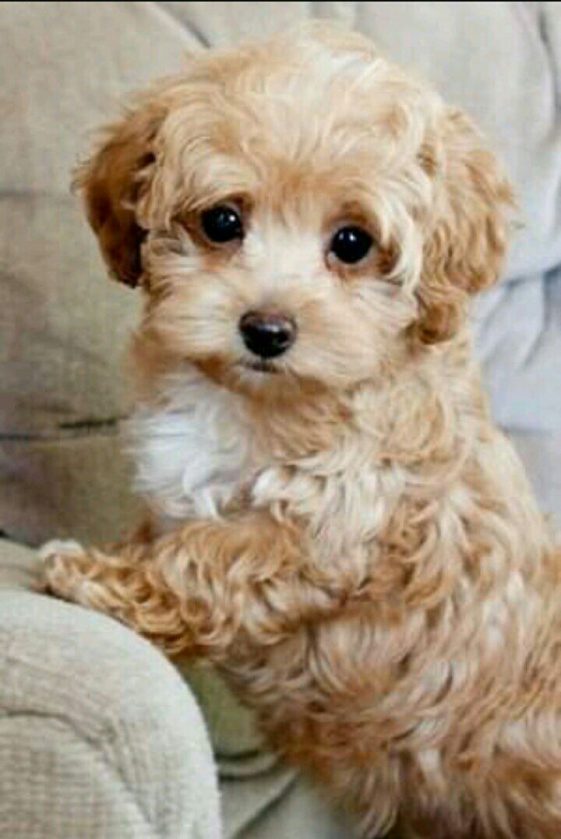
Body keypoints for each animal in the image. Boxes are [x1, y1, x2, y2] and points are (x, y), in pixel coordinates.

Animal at [42, 23, 560, 836]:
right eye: (222, 221)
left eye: (352, 242)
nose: (266, 329)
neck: (260, 399)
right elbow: (169, 533)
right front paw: (117, 562)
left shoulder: (335, 526)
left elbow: (203, 556)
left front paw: (97, 577)